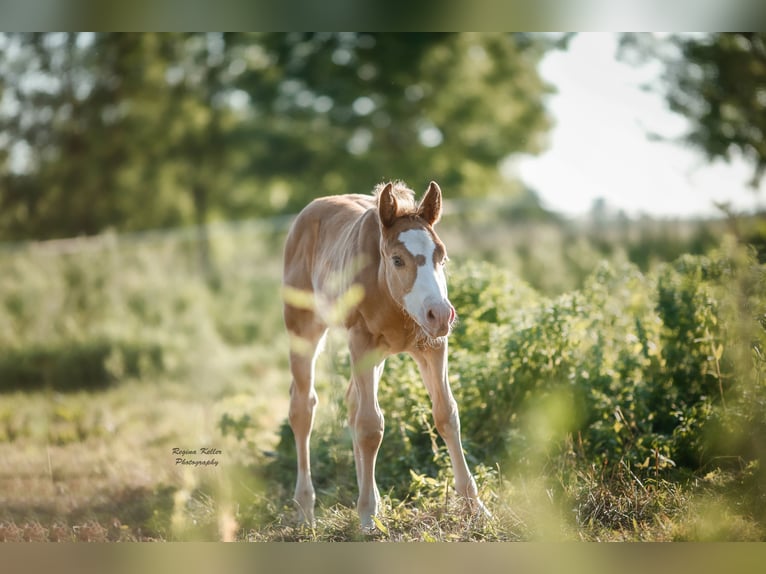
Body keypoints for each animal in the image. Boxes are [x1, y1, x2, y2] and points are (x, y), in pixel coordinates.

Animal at [282, 181, 486, 532]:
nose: (441, 314)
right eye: (397, 259)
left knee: (352, 403)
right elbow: (370, 426)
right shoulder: (361, 343)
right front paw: (367, 517)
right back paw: (306, 510)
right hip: (304, 329)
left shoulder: (432, 345)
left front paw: (476, 507)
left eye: (441, 257)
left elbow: (446, 414)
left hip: (379, 355)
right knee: (303, 407)